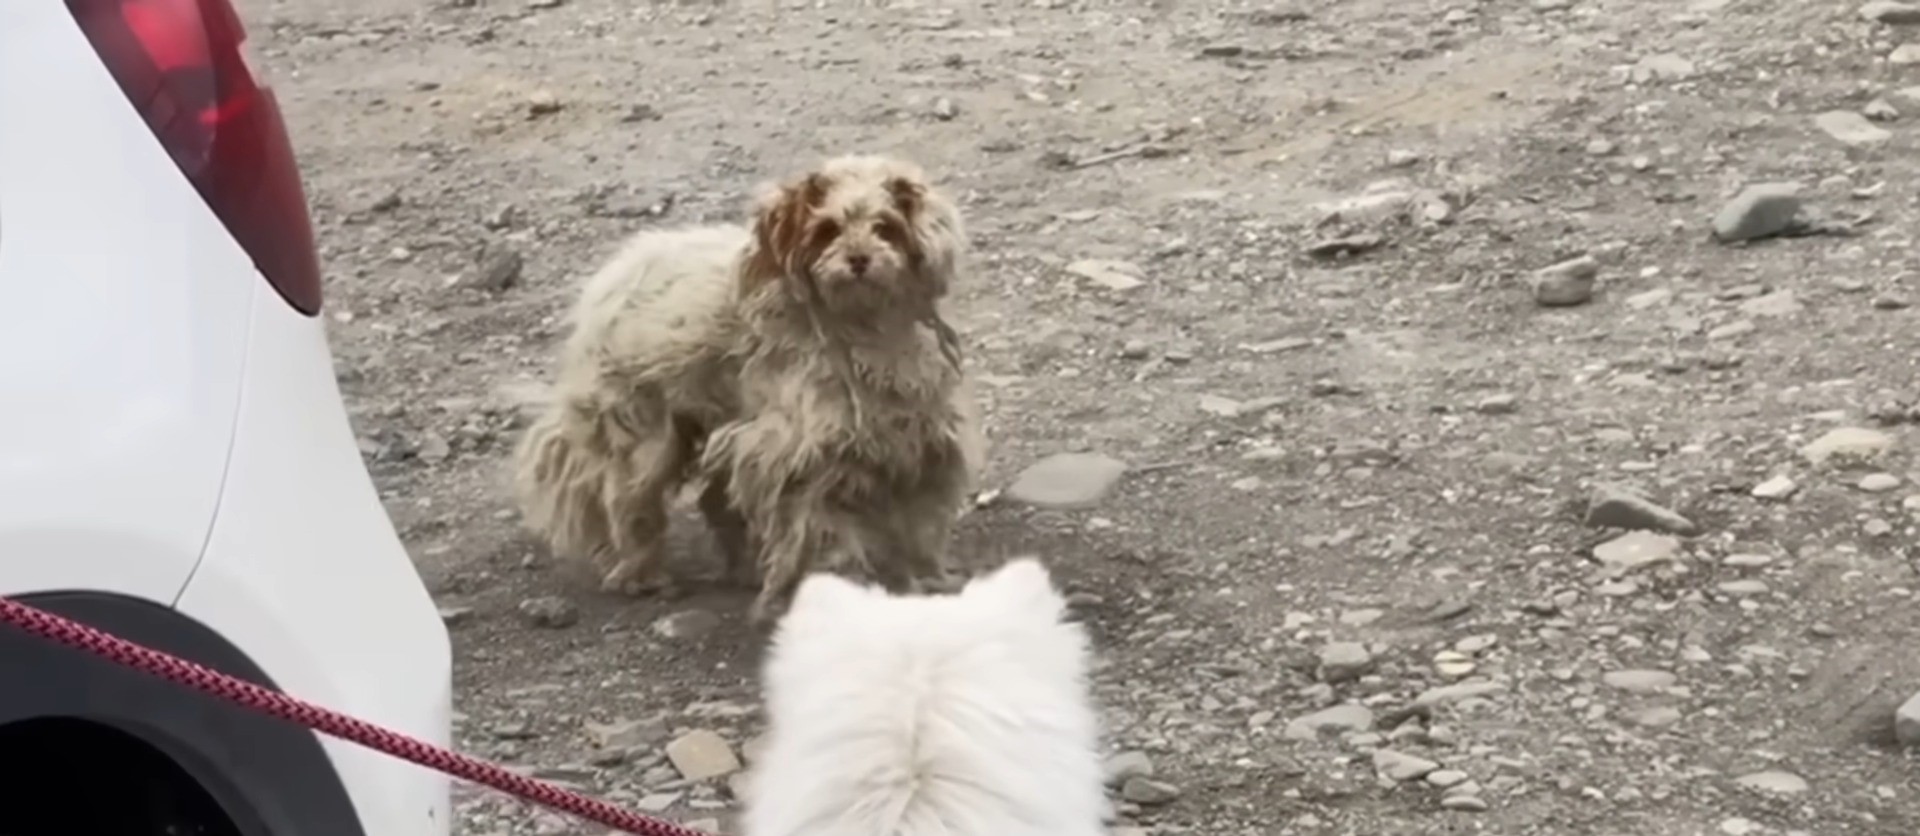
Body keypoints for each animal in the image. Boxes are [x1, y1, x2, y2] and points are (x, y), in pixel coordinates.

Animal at [510, 155, 983, 630]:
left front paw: (923, 579)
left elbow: (912, 525)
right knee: (630, 501)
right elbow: (817, 528)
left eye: (885, 227)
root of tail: (619, 273)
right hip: (644, 435)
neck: (862, 326)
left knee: (714, 501)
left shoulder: (911, 442)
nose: (859, 260)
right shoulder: (800, 455)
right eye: (828, 230)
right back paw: (641, 573)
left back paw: (742, 569)